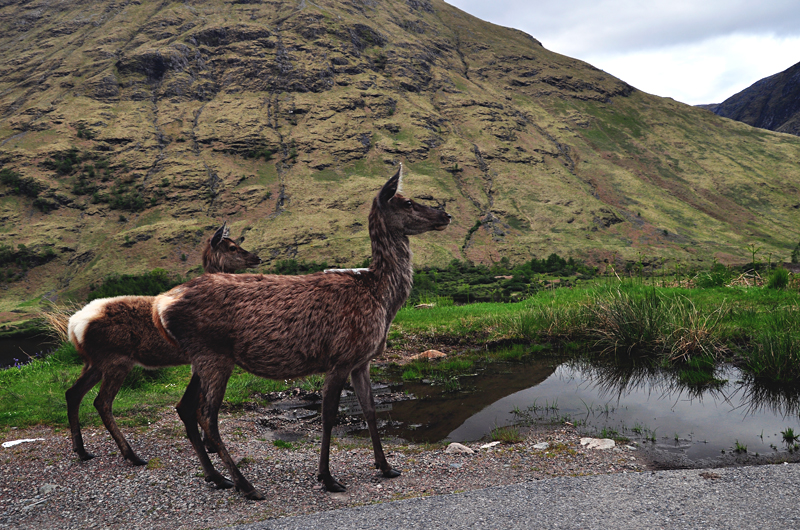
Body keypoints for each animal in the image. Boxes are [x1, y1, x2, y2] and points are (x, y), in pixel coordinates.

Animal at [66, 223, 260, 462]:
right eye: (232, 247)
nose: (256, 257)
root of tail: (74, 325)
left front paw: (209, 444)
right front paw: (210, 445)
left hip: (94, 361)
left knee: (73, 393)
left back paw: (82, 450)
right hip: (116, 360)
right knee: (101, 402)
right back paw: (131, 455)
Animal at [151, 167, 450, 498]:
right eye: (408, 202)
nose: (445, 214)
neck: (381, 297)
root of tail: (161, 306)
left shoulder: (362, 360)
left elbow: (371, 409)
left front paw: (386, 467)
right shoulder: (341, 355)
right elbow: (328, 415)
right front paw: (327, 477)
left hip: (201, 358)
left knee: (185, 407)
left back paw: (217, 477)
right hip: (213, 354)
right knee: (207, 416)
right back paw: (246, 485)